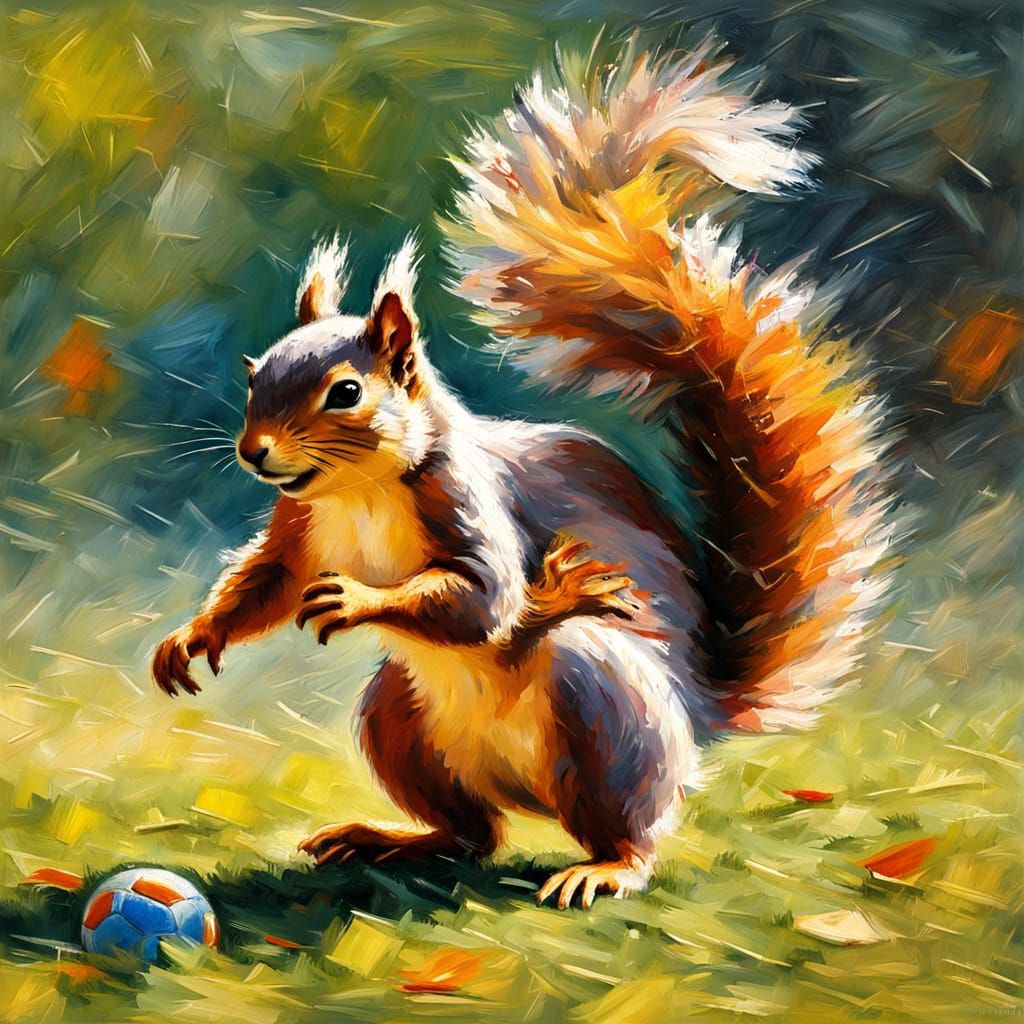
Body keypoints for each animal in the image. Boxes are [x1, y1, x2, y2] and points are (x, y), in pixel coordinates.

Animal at [153, 45, 891, 909]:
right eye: (253, 374)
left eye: (346, 392)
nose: (254, 452)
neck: (358, 491)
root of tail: (699, 712)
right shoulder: (300, 528)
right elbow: (265, 582)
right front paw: (192, 637)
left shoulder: (469, 503)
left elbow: (485, 596)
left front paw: (359, 598)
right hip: (397, 718)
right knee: (472, 835)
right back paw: (389, 838)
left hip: (603, 705)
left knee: (624, 823)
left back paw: (605, 867)